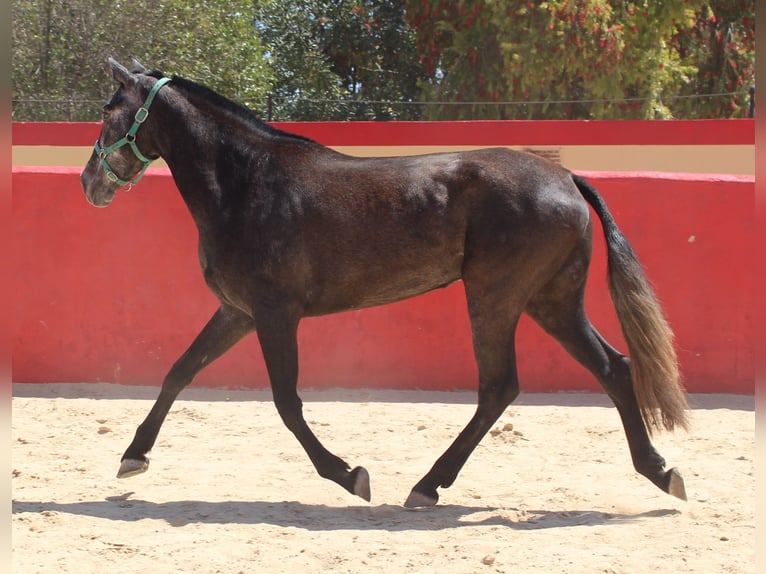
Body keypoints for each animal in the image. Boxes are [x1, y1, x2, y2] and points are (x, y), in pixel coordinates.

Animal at [81, 58, 692, 508]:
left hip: (496, 296)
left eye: (111, 113)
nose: (89, 182)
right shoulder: (239, 312)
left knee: (500, 386)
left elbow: (286, 401)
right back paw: (659, 472)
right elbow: (179, 371)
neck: (248, 183)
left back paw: (428, 486)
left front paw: (349, 474)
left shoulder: (275, 313)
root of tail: (566, 177)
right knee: (613, 368)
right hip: (551, 300)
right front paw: (133, 456)